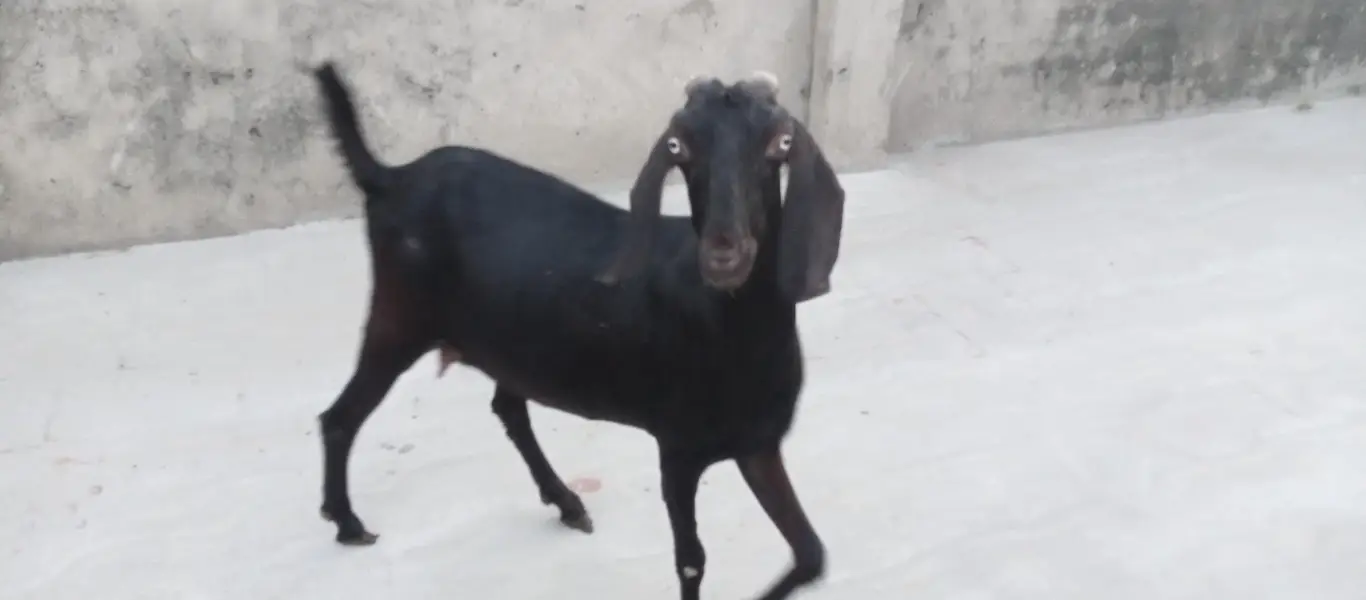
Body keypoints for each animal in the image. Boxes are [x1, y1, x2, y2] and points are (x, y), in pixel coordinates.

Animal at [311, 60, 846, 600]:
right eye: (678, 146)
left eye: (781, 143)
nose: (724, 255)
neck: (733, 332)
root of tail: (391, 178)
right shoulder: (677, 448)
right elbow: (692, 561)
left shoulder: (758, 444)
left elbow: (810, 553)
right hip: (400, 317)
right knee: (340, 416)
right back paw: (347, 522)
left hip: (508, 340)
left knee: (507, 408)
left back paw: (566, 502)